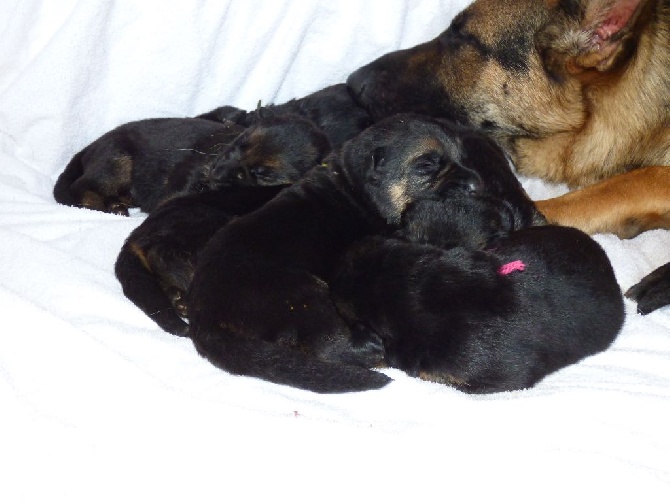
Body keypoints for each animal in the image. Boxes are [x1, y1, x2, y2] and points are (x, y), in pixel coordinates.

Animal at [186, 113, 544, 392]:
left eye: (462, 158)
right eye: (427, 165)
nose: (475, 185)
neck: (357, 189)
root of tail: (203, 316)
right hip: (300, 294)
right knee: (326, 343)